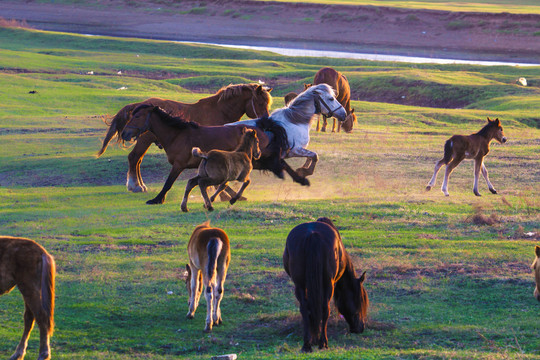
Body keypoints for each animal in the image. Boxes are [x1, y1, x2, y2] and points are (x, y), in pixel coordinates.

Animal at [95, 83, 272, 194]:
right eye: (260, 102)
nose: (266, 120)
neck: (218, 110)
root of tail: (137, 104)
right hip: (144, 140)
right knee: (134, 158)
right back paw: (135, 186)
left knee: (137, 160)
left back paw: (139, 185)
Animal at [122, 104, 308, 205]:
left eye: (137, 116)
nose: (125, 133)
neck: (177, 134)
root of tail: (261, 127)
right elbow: (218, 183)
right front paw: (228, 196)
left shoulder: (179, 165)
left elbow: (168, 183)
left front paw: (157, 199)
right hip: (256, 159)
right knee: (280, 163)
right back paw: (301, 180)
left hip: (256, 158)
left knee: (278, 163)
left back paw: (300, 179)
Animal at [282, 217, 368, 352]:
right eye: (359, 302)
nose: (360, 327)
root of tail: (312, 234)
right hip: (328, 284)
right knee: (325, 309)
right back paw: (323, 343)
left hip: (299, 284)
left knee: (305, 308)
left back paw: (307, 345)